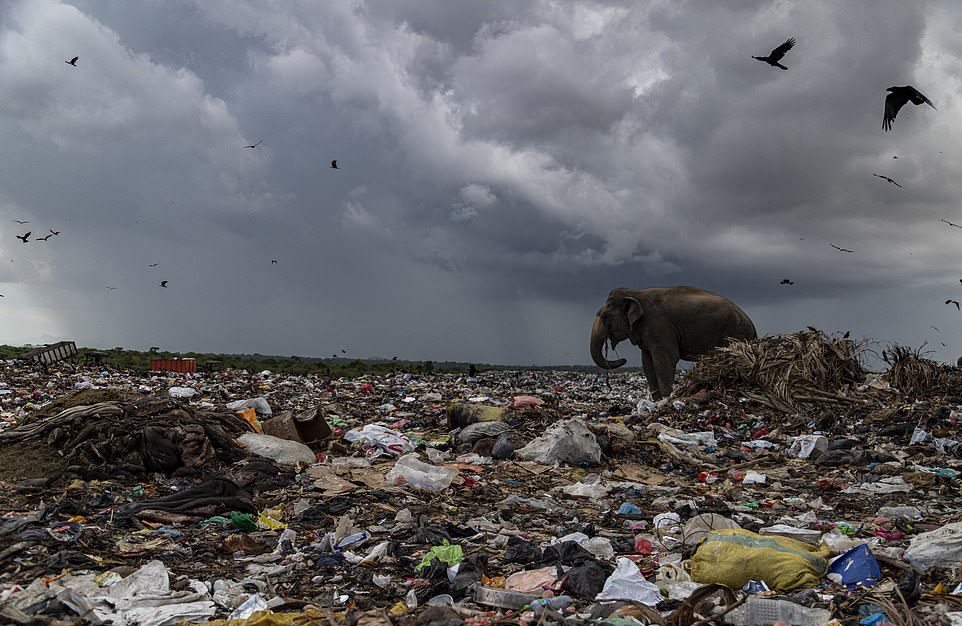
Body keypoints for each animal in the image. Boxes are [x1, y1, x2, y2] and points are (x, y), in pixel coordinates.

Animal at [584, 288, 756, 400]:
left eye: (605, 317)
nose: (624, 359)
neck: (635, 293)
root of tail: (752, 326)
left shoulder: (658, 324)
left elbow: (665, 359)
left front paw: (666, 399)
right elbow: (647, 362)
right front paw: (657, 400)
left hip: (735, 335)